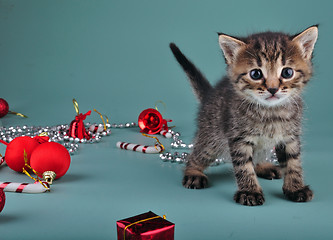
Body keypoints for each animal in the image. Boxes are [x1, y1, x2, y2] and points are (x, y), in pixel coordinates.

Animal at [170, 25, 318, 206]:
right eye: (256, 74)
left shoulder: (290, 137)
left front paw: (295, 188)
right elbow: (244, 167)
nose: (273, 89)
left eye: (287, 72)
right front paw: (250, 191)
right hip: (211, 137)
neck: (271, 112)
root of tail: (209, 96)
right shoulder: (238, 138)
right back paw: (193, 172)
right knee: (196, 155)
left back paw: (263, 166)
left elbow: (293, 163)